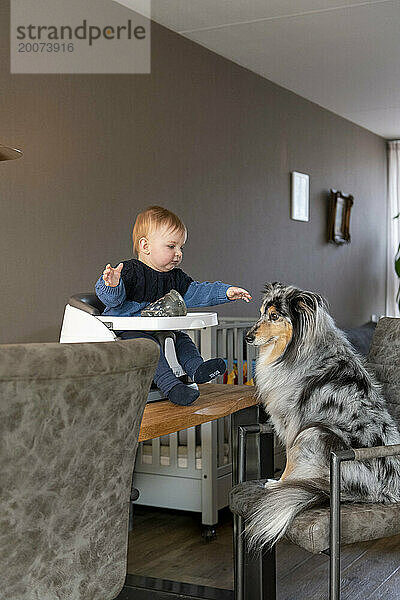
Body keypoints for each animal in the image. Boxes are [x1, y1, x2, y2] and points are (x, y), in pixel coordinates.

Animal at [244, 284, 400, 552]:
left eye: (274, 316)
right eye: (262, 312)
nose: (247, 337)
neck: (295, 351)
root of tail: (385, 494)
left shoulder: (295, 423)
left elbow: (290, 459)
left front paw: (279, 483)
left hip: (314, 431)